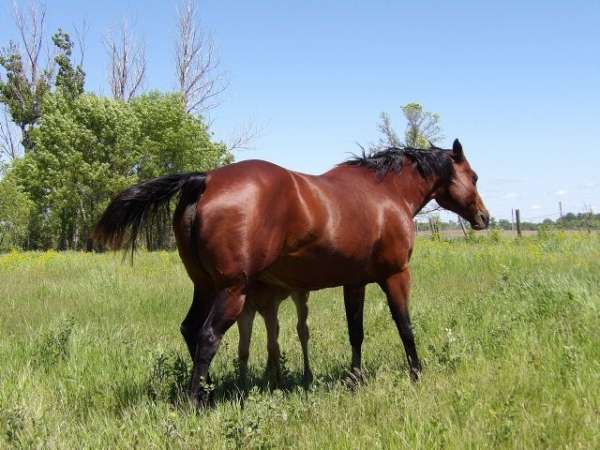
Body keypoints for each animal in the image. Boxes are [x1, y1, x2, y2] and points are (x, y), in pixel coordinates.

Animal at [94, 137, 488, 404]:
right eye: (474, 176)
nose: (484, 217)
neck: (385, 194)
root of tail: (205, 180)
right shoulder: (395, 275)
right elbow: (405, 326)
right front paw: (416, 374)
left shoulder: (354, 282)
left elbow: (356, 332)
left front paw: (355, 379)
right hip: (232, 291)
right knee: (206, 337)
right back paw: (196, 403)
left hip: (204, 287)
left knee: (190, 330)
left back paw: (208, 394)